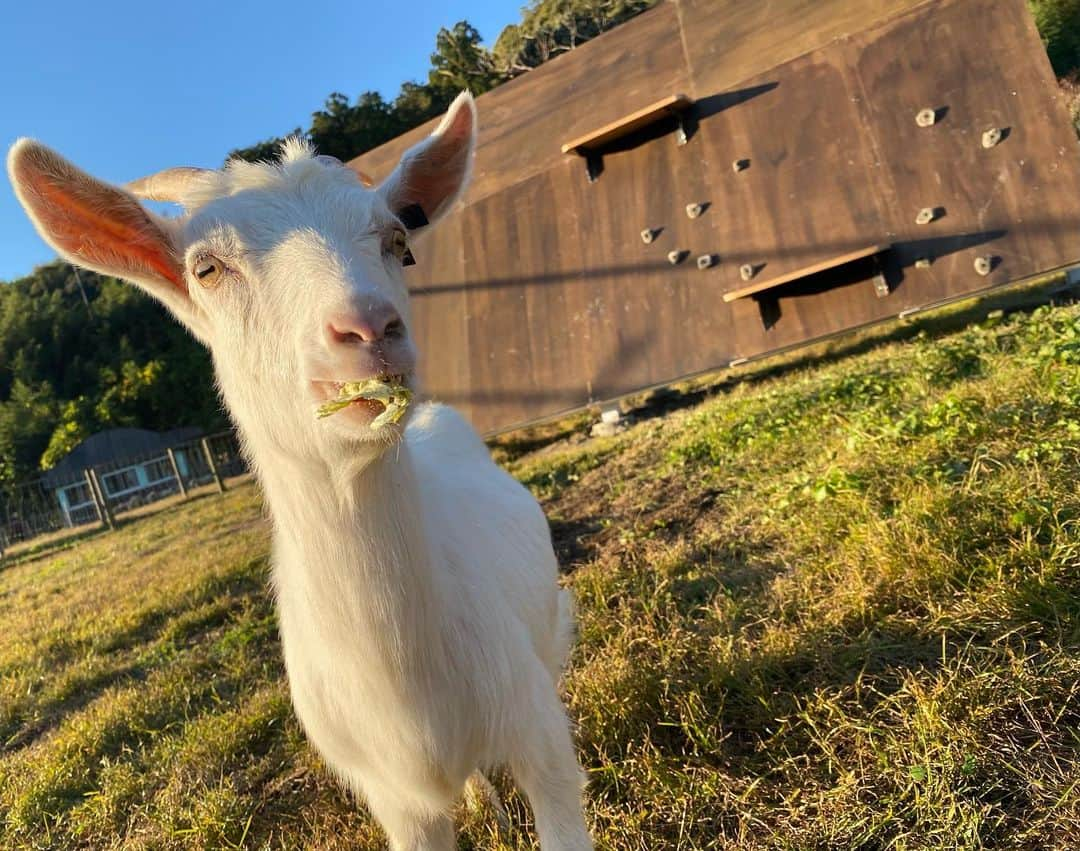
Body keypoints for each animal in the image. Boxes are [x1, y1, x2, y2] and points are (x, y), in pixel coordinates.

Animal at [6, 92, 591, 851]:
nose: (369, 328)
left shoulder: (537, 731)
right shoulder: (396, 798)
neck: (413, 687)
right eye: (206, 268)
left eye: (400, 242)